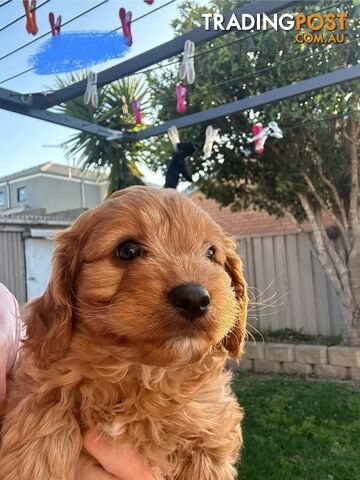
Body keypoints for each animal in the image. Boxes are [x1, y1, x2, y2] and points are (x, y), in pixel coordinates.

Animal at [0, 186, 248, 478]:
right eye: (127, 250)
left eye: (210, 254)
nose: (193, 298)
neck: (141, 371)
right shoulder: (45, 383)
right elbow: (44, 416)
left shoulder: (211, 431)